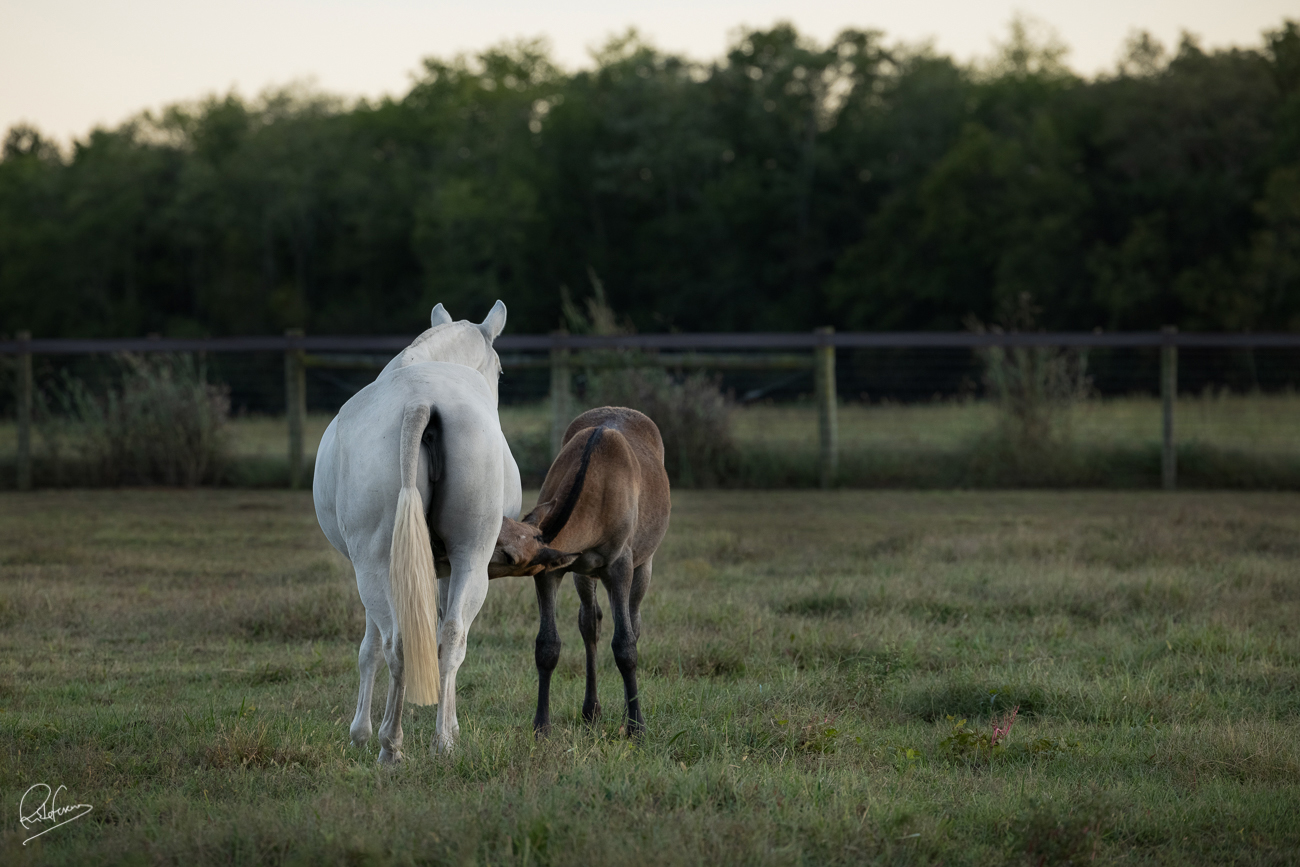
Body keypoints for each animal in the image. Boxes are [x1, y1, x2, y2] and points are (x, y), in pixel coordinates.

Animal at [312, 304, 520, 759]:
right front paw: (450, 727)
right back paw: (441, 742)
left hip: (376, 566)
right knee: (451, 636)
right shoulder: (442, 568)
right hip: (470, 559)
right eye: (500, 371)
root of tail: (420, 402)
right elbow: (443, 634)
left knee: (399, 643)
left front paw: (359, 732)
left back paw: (390, 745)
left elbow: (370, 648)